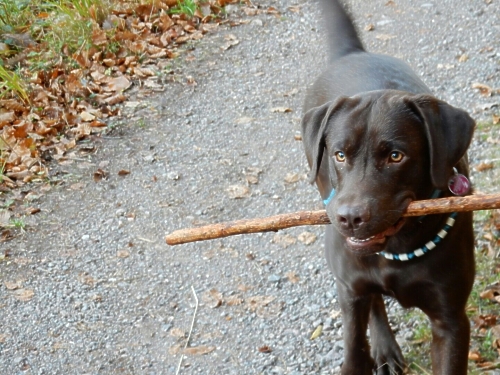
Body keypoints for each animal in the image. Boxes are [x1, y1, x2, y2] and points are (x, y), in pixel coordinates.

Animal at [300, 0, 476, 375]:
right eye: (339, 154)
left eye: (396, 156)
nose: (350, 218)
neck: (398, 246)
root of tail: (352, 53)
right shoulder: (350, 292)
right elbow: (354, 350)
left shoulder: (451, 319)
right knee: (374, 303)